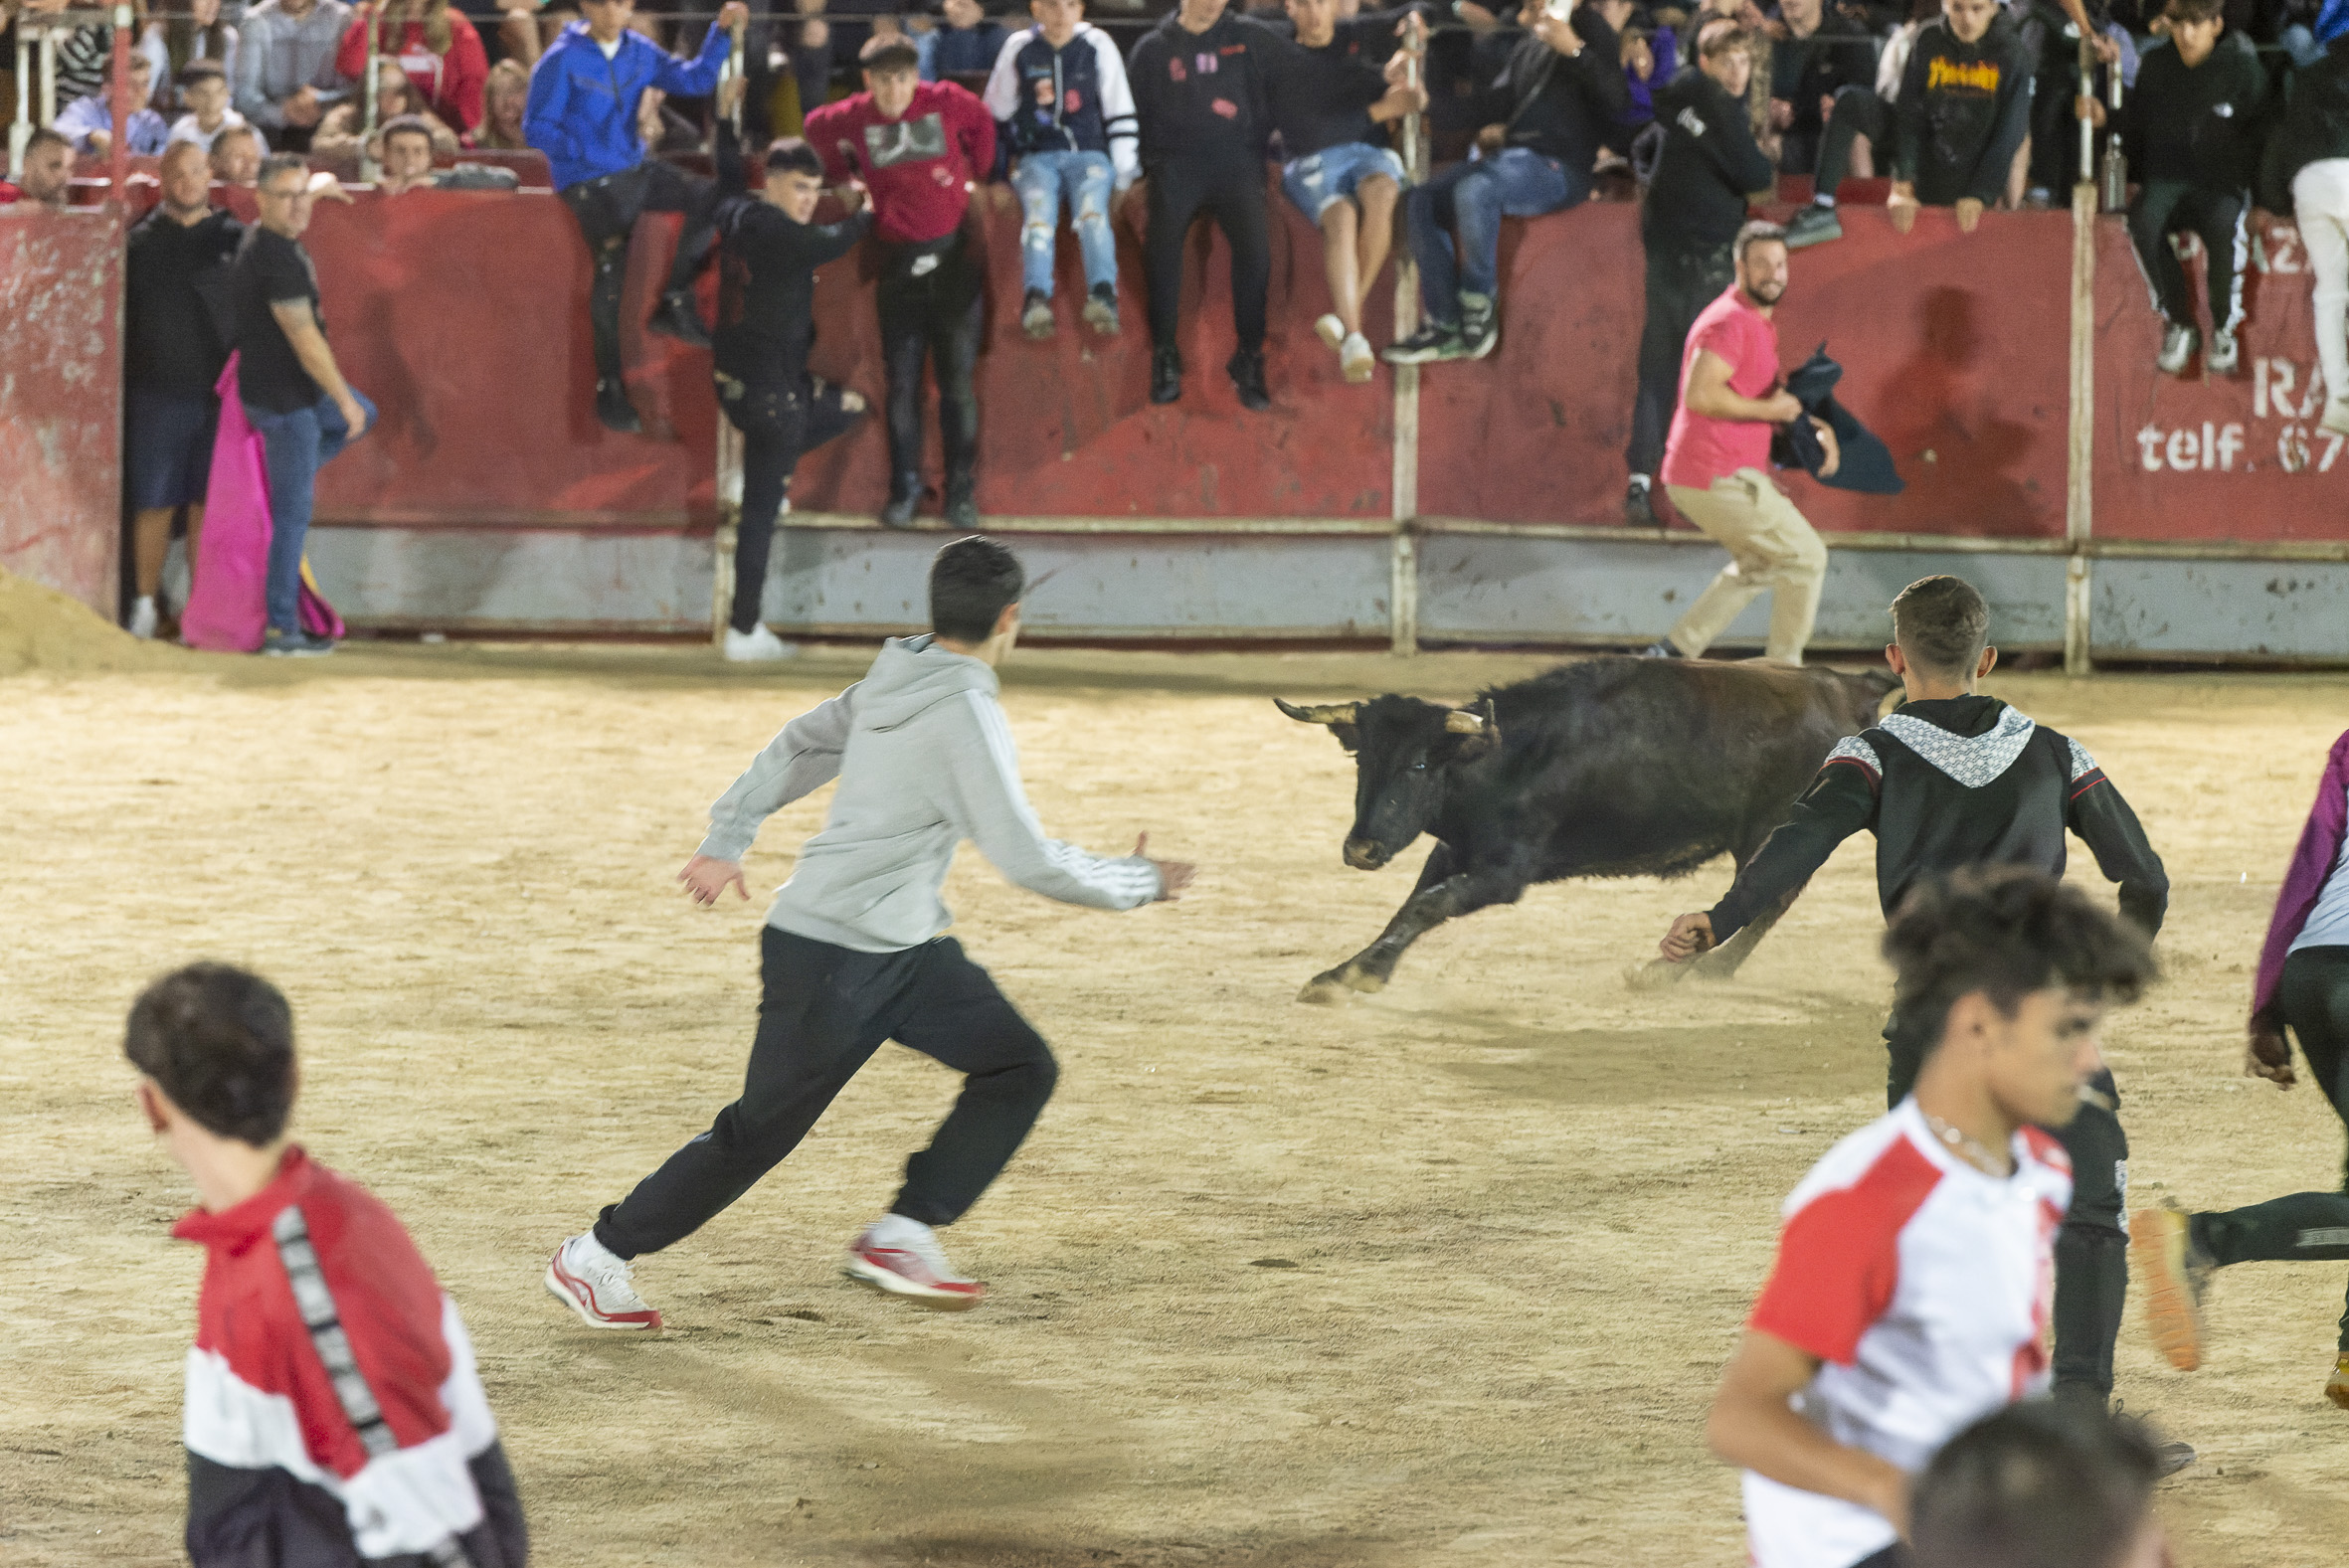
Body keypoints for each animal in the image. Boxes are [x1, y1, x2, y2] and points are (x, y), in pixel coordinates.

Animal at [1277, 652, 1897, 1004]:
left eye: (1420, 764)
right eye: (1362, 759)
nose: (1361, 848)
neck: (1502, 760)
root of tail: (1848, 688)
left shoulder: (1504, 875)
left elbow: (1428, 905)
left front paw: (1360, 974)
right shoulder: (1455, 852)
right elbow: (1410, 905)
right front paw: (1343, 973)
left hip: (1776, 828)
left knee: (1765, 897)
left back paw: (1677, 973)